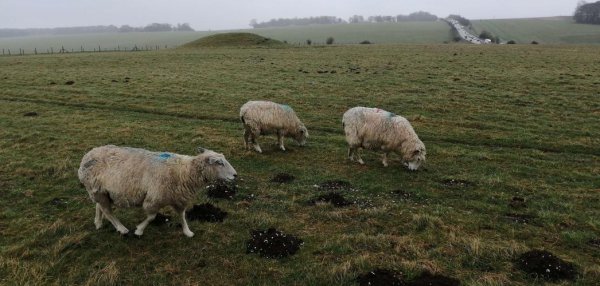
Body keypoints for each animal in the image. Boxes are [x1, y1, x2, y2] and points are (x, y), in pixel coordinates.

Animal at [78, 145, 238, 237]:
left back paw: (98, 223)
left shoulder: (178, 199)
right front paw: (139, 230)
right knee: (108, 212)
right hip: (98, 191)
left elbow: (182, 216)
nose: (235, 175)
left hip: (101, 191)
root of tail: (87, 156)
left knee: (100, 207)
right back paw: (122, 229)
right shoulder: (153, 199)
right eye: (219, 163)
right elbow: (151, 217)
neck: (184, 172)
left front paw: (187, 232)